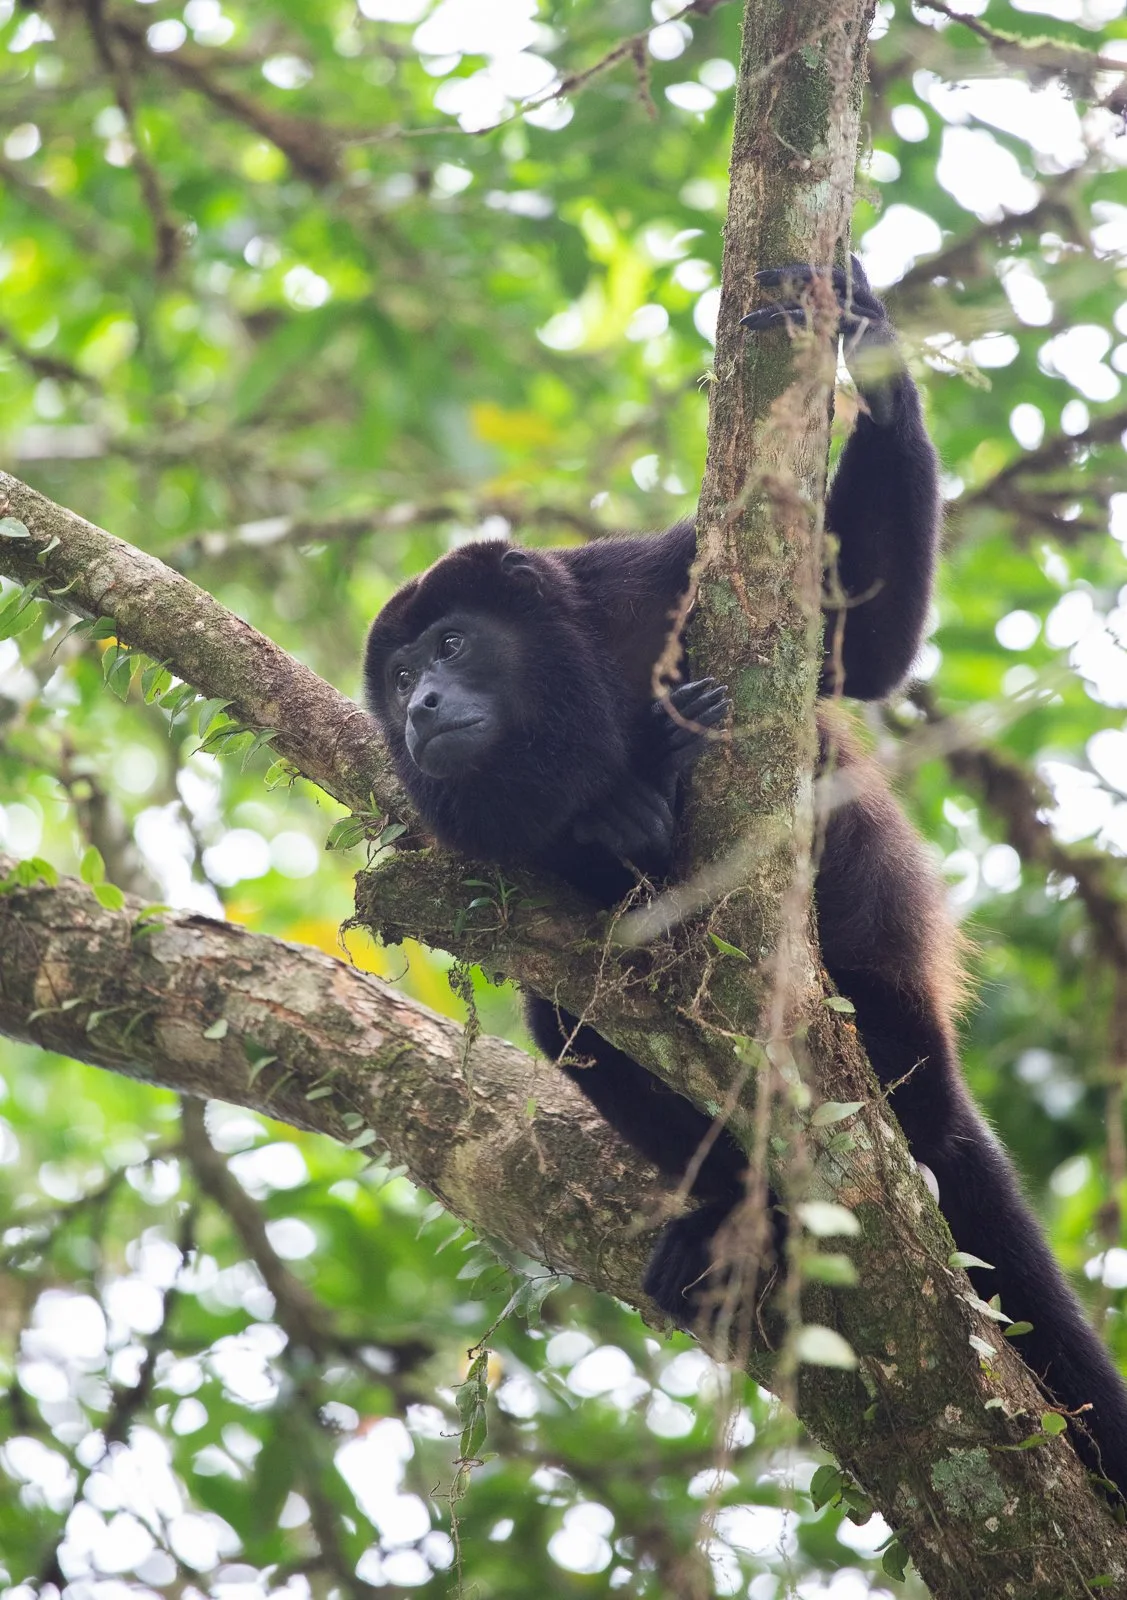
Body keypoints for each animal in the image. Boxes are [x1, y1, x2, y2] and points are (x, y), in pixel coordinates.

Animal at [364, 260, 1127, 1491]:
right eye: (393, 677)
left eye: (450, 645)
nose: (421, 705)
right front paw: (613, 818)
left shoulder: (655, 576)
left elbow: (861, 651)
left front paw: (872, 352)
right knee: (566, 1013)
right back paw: (732, 1210)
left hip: (882, 1001)